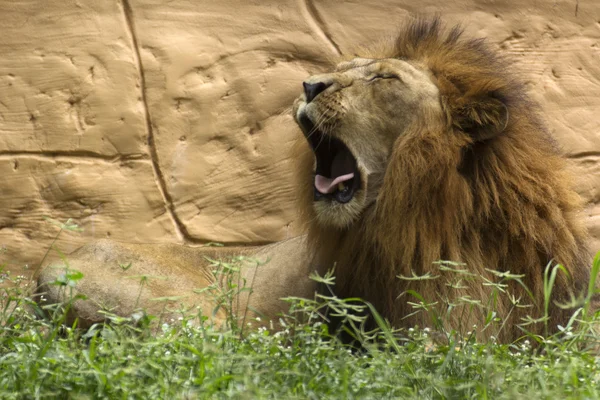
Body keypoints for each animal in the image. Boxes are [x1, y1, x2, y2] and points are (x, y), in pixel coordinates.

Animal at [36, 19, 592, 344]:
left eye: (383, 78)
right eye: (341, 69)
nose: (309, 84)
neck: (449, 217)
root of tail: (48, 266)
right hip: (197, 312)